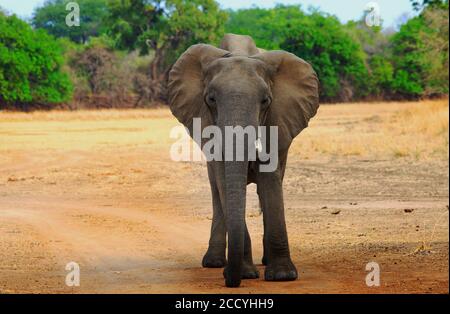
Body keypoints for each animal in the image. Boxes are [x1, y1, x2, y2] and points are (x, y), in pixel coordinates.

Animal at [169, 33, 320, 288]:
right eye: (211, 99)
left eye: (266, 101)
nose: (230, 280)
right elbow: (223, 180)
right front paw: (247, 273)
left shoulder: (278, 119)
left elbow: (269, 179)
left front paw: (282, 276)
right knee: (216, 192)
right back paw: (214, 262)